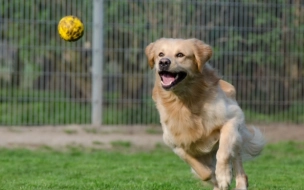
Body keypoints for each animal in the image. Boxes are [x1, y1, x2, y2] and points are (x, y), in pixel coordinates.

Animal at [145, 37, 264, 189]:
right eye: (160, 54)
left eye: (180, 55)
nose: (164, 62)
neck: (184, 101)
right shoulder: (175, 143)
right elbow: (204, 172)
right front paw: (216, 178)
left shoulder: (232, 119)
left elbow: (223, 153)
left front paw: (223, 176)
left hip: (237, 138)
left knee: (239, 167)